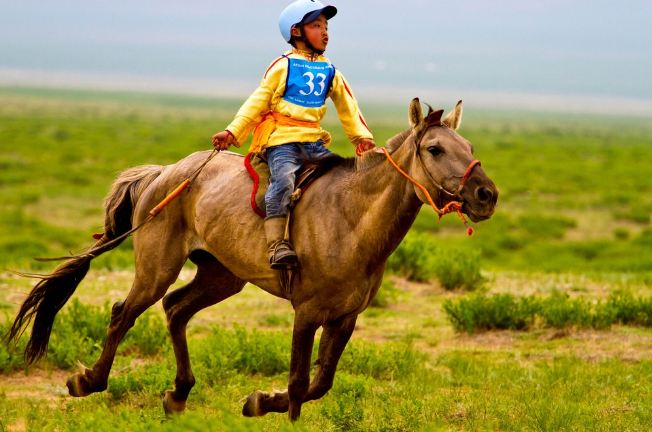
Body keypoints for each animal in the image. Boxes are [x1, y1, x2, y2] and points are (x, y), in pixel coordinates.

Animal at [6, 97, 500, 418]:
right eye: (435, 149)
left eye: (472, 150)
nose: (486, 195)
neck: (351, 218)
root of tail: (164, 173)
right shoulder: (307, 312)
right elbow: (300, 383)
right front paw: (267, 404)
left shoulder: (345, 318)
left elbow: (320, 383)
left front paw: (262, 401)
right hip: (157, 268)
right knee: (123, 312)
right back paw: (89, 381)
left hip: (221, 276)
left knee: (176, 309)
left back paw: (178, 394)